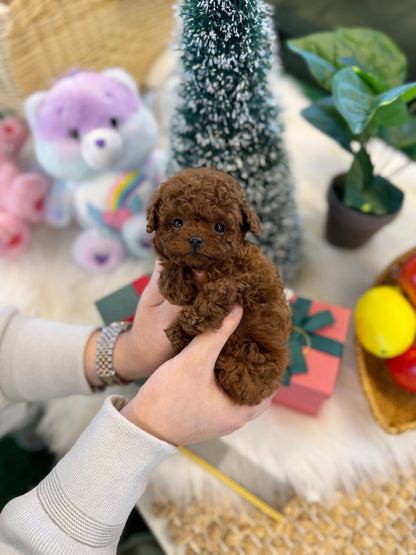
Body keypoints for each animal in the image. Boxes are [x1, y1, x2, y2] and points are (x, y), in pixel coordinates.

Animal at [147, 167, 292, 406]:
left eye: (219, 227)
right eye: (177, 222)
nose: (195, 240)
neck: (208, 267)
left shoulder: (255, 278)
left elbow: (222, 287)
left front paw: (195, 316)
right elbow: (173, 266)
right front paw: (177, 286)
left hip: (254, 355)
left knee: (234, 371)